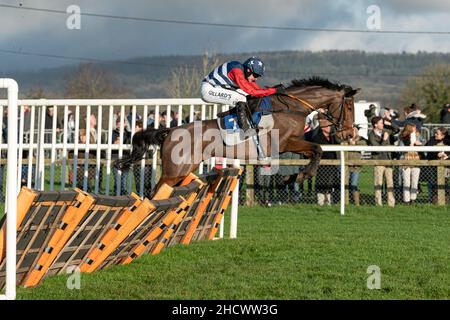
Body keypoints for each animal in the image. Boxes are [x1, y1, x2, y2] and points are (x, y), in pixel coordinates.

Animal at [115, 77, 358, 195]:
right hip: (174, 170)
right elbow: (318, 149)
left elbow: (316, 151)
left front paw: (294, 177)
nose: (349, 133)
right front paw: (298, 176)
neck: (292, 107)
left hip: (185, 169)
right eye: (349, 107)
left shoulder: (292, 144)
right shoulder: (287, 142)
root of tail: (170, 131)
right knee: (155, 192)